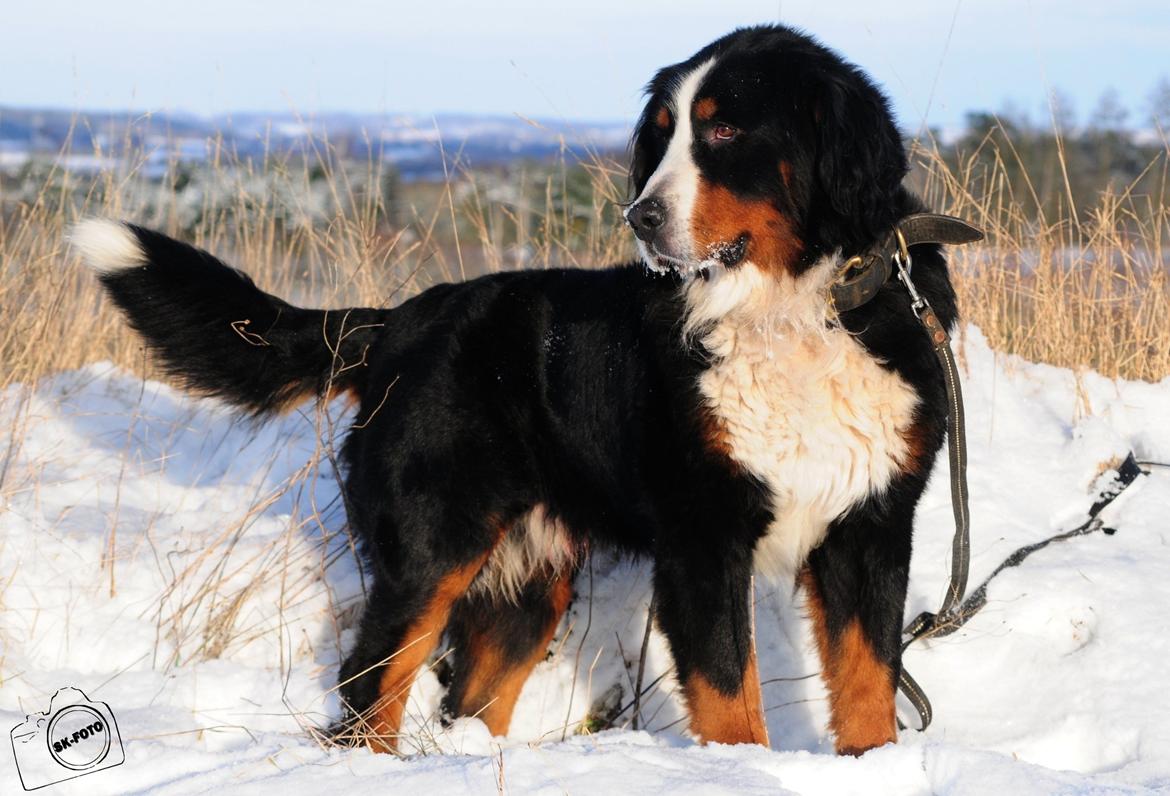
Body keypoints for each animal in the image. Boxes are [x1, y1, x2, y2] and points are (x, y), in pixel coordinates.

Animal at [70, 24, 959, 753]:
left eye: (726, 127)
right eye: (661, 137)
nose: (640, 216)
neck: (791, 310)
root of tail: (398, 321)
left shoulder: (871, 526)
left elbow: (868, 686)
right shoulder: (703, 539)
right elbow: (730, 700)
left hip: (528, 580)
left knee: (469, 702)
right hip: (433, 548)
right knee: (370, 688)